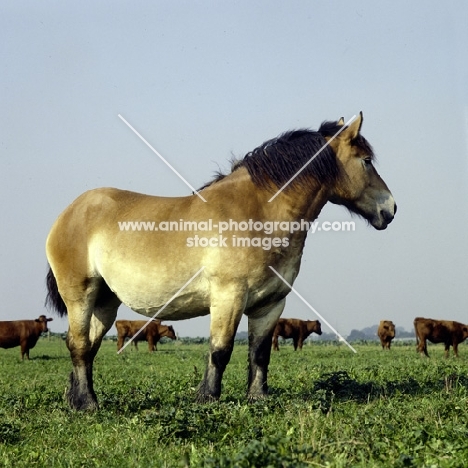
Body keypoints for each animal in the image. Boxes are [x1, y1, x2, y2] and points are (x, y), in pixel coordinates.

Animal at [45, 112, 394, 410]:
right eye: (366, 161)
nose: (390, 209)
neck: (259, 213)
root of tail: (68, 213)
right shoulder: (229, 295)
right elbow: (220, 349)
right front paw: (208, 398)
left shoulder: (270, 304)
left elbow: (259, 353)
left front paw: (257, 398)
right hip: (81, 295)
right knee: (78, 345)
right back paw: (88, 404)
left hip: (105, 302)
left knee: (88, 346)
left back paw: (74, 398)